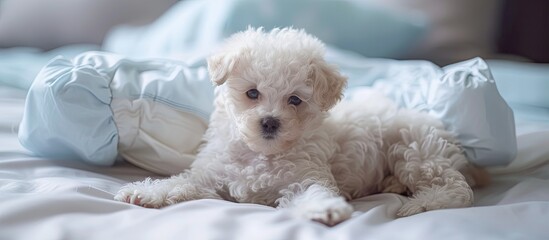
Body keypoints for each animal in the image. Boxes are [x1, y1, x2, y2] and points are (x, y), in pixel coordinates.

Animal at [114, 27, 484, 226]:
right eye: (252, 93)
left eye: (294, 100)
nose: (269, 121)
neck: (262, 154)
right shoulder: (210, 174)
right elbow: (181, 183)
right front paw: (144, 192)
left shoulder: (305, 176)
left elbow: (314, 193)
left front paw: (327, 210)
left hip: (415, 150)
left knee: (458, 189)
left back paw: (419, 203)